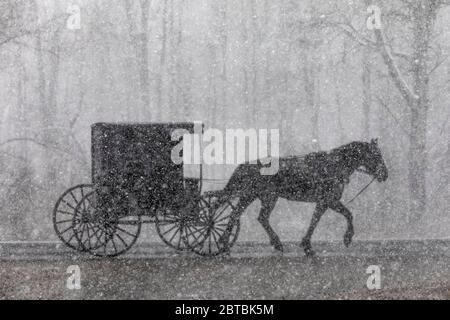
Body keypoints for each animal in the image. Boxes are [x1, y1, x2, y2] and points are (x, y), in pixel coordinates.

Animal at [216, 139, 388, 256]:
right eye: (376, 155)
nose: (385, 174)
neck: (335, 166)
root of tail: (247, 165)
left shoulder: (323, 202)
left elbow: (315, 220)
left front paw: (307, 245)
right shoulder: (329, 200)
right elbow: (347, 215)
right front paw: (347, 238)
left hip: (256, 196)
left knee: (242, 216)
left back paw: (226, 243)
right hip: (262, 196)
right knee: (249, 216)